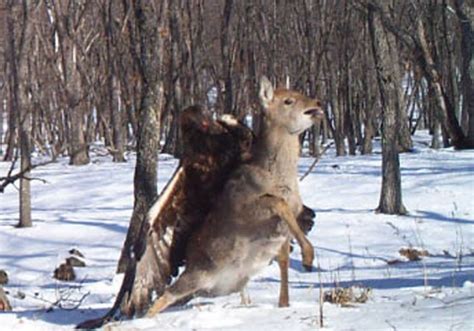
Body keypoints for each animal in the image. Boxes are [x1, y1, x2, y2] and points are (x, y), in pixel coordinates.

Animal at [144, 76, 322, 316]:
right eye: (288, 100)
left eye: (299, 92)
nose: (318, 104)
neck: (278, 177)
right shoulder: (246, 210)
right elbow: (277, 202)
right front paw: (308, 258)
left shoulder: (288, 222)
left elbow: (284, 258)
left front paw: (285, 302)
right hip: (196, 275)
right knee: (163, 297)